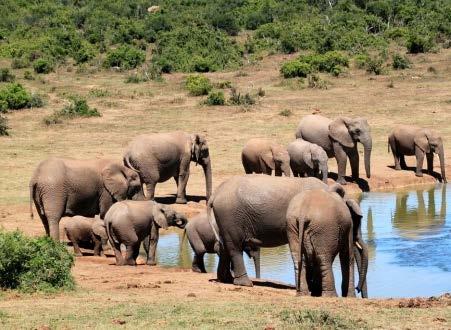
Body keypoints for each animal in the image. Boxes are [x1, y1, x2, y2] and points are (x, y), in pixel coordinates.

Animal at [209, 175, 370, 294]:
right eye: (356, 221)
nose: (358, 289)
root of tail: (215, 194)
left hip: (225, 218)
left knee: (225, 245)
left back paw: (226, 279)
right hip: (230, 215)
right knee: (235, 247)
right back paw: (246, 284)